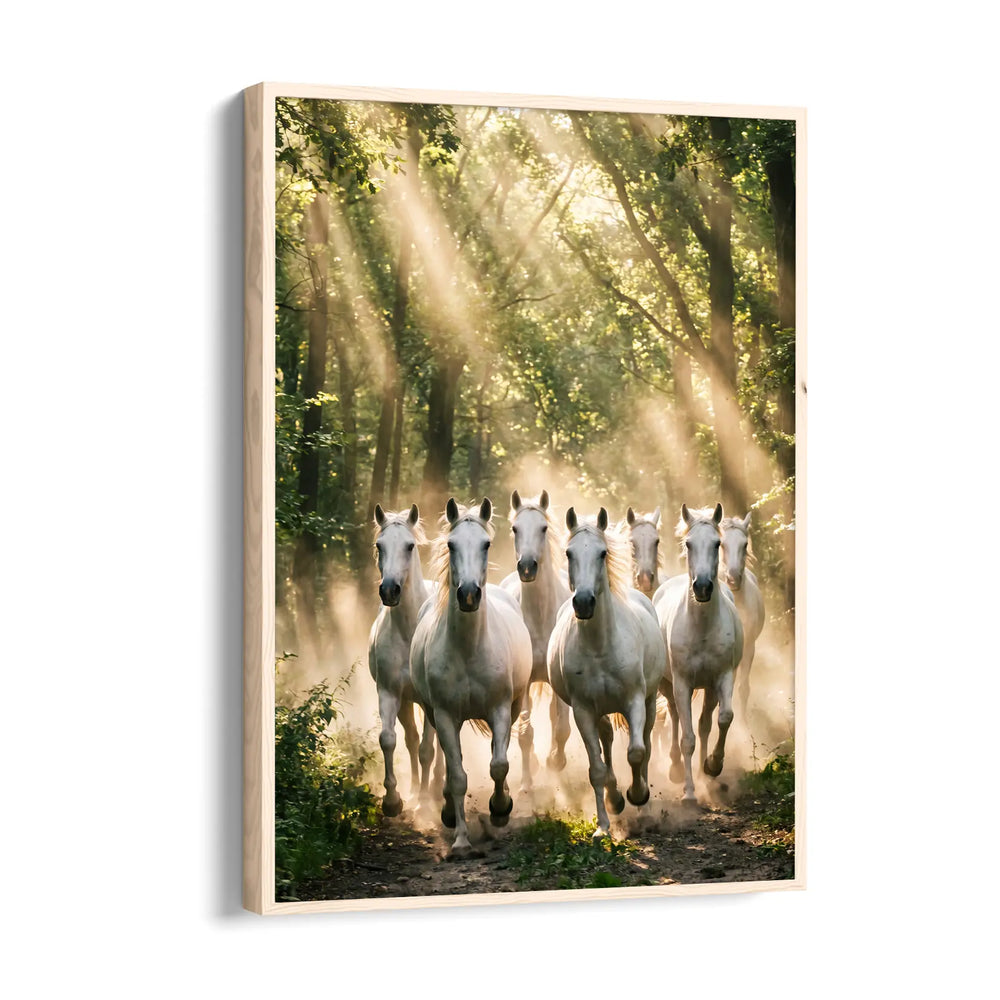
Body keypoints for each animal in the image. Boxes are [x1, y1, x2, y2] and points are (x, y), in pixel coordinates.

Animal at [410, 498, 533, 856]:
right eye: (451, 545)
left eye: (486, 544)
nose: (467, 594)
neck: (468, 649)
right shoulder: (445, 715)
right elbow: (457, 776)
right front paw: (462, 840)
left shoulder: (501, 709)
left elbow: (499, 764)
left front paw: (501, 809)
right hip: (437, 716)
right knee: (449, 762)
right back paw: (449, 811)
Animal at [500, 489, 572, 773]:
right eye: (515, 528)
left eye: (543, 528)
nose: (527, 567)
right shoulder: (526, 682)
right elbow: (525, 734)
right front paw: (526, 780)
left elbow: (561, 727)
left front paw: (556, 760)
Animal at [547, 507, 666, 839]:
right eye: (569, 552)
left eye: (602, 553)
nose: (584, 602)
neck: (600, 646)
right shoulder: (584, 711)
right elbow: (597, 769)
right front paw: (603, 825)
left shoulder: (634, 701)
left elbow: (637, 752)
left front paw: (638, 795)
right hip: (600, 712)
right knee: (607, 741)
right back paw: (615, 798)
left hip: (650, 701)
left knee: (646, 743)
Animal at [655, 504, 743, 803]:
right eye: (689, 544)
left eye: (717, 544)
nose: (702, 587)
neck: (701, 628)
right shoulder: (682, 683)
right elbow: (687, 738)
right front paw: (689, 793)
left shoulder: (723, 678)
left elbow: (724, 718)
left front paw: (713, 765)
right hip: (668, 684)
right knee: (674, 716)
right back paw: (675, 769)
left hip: (709, 688)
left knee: (705, 723)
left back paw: (707, 775)